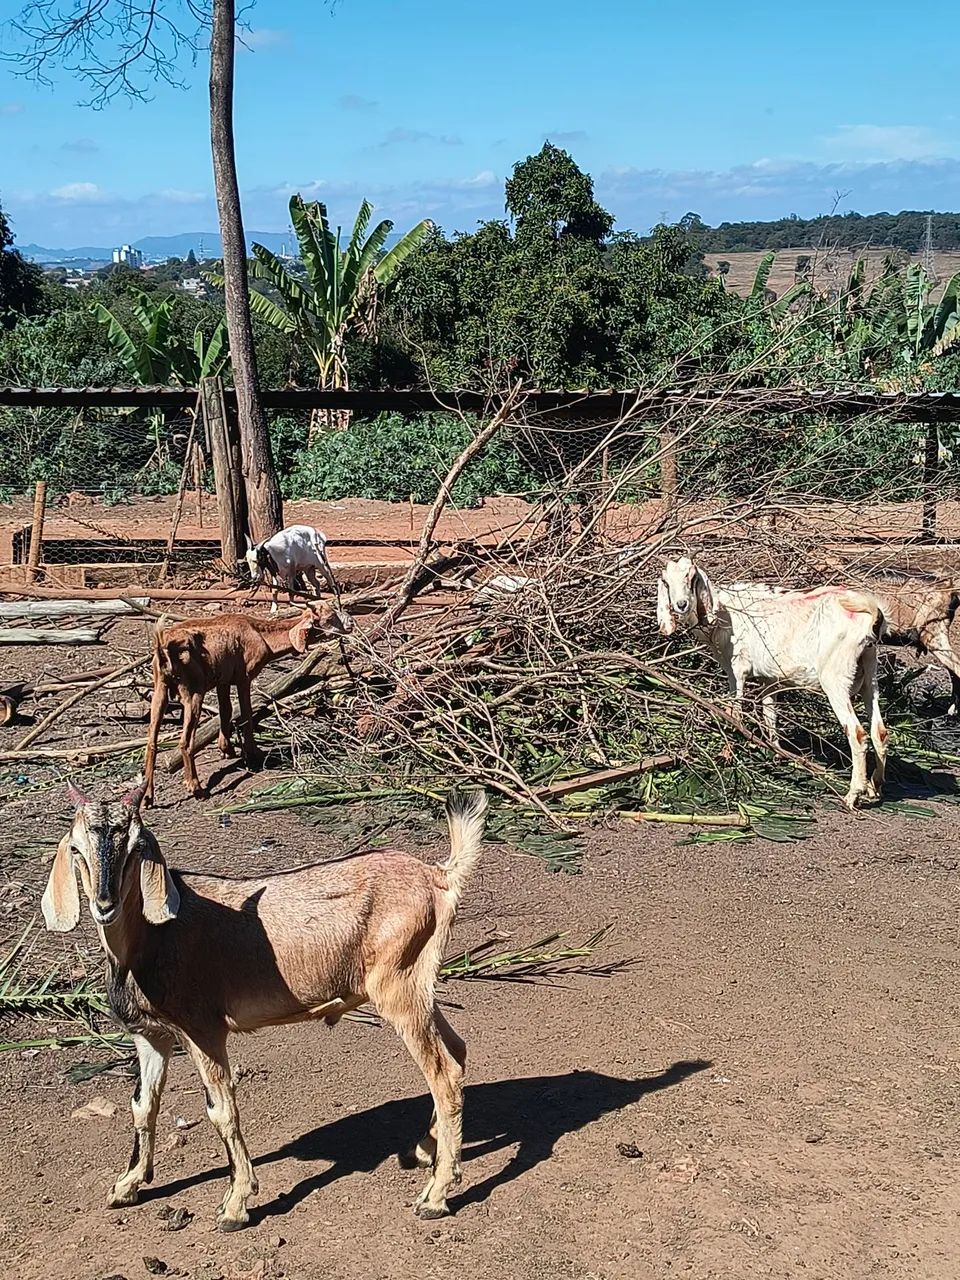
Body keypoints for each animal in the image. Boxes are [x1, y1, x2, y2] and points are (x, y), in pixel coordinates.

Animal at [42, 779, 488, 1229]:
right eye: (76, 848)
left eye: (136, 848)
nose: (104, 905)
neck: (151, 941)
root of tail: (439, 876)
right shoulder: (152, 1036)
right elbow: (142, 1105)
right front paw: (127, 1186)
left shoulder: (203, 1030)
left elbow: (221, 1109)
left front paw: (235, 1204)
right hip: (419, 987)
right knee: (457, 1050)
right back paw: (426, 1150)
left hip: (399, 987)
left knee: (444, 1074)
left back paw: (435, 1195)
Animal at [143, 602, 352, 805]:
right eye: (330, 617)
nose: (350, 622)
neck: (262, 636)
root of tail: (164, 648)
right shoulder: (244, 677)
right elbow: (246, 714)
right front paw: (254, 753)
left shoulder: (224, 678)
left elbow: (226, 710)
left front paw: (226, 749)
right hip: (193, 691)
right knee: (185, 742)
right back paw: (196, 788)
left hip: (160, 688)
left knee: (151, 742)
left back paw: (147, 797)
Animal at [657, 557, 887, 809]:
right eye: (666, 582)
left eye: (691, 577)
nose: (681, 605)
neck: (725, 614)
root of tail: (870, 617)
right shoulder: (769, 678)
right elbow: (770, 716)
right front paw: (776, 753)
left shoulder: (736, 669)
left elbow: (735, 712)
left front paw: (727, 754)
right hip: (870, 672)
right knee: (879, 730)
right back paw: (874, 788)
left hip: (835, 677)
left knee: (857, 733)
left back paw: (853, 794)